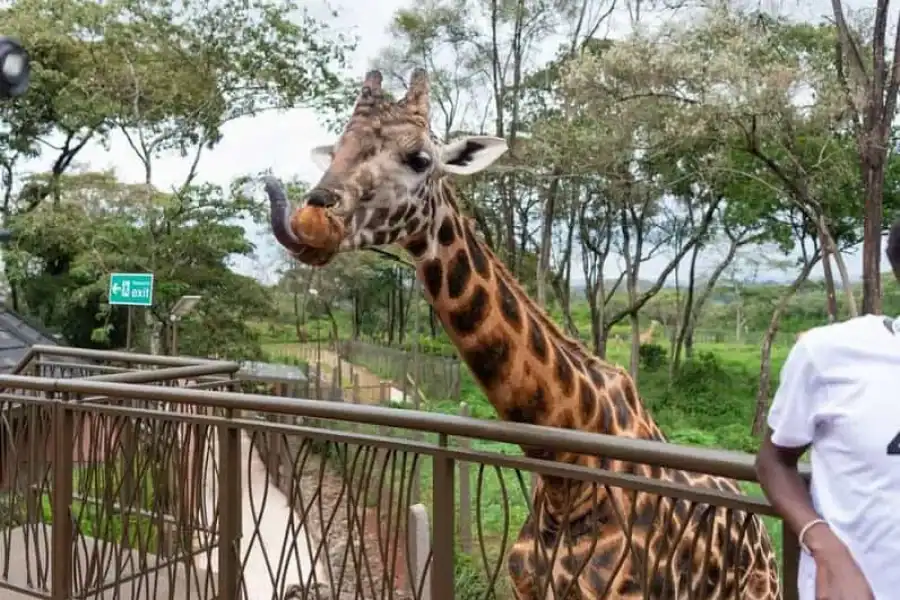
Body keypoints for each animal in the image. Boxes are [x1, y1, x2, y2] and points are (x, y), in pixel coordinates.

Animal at [265, 69, 781, 599]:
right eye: (339, 149)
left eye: (420, 159)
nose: (310, 220)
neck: (566, 472)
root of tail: (764, 538)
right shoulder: (527, 586)